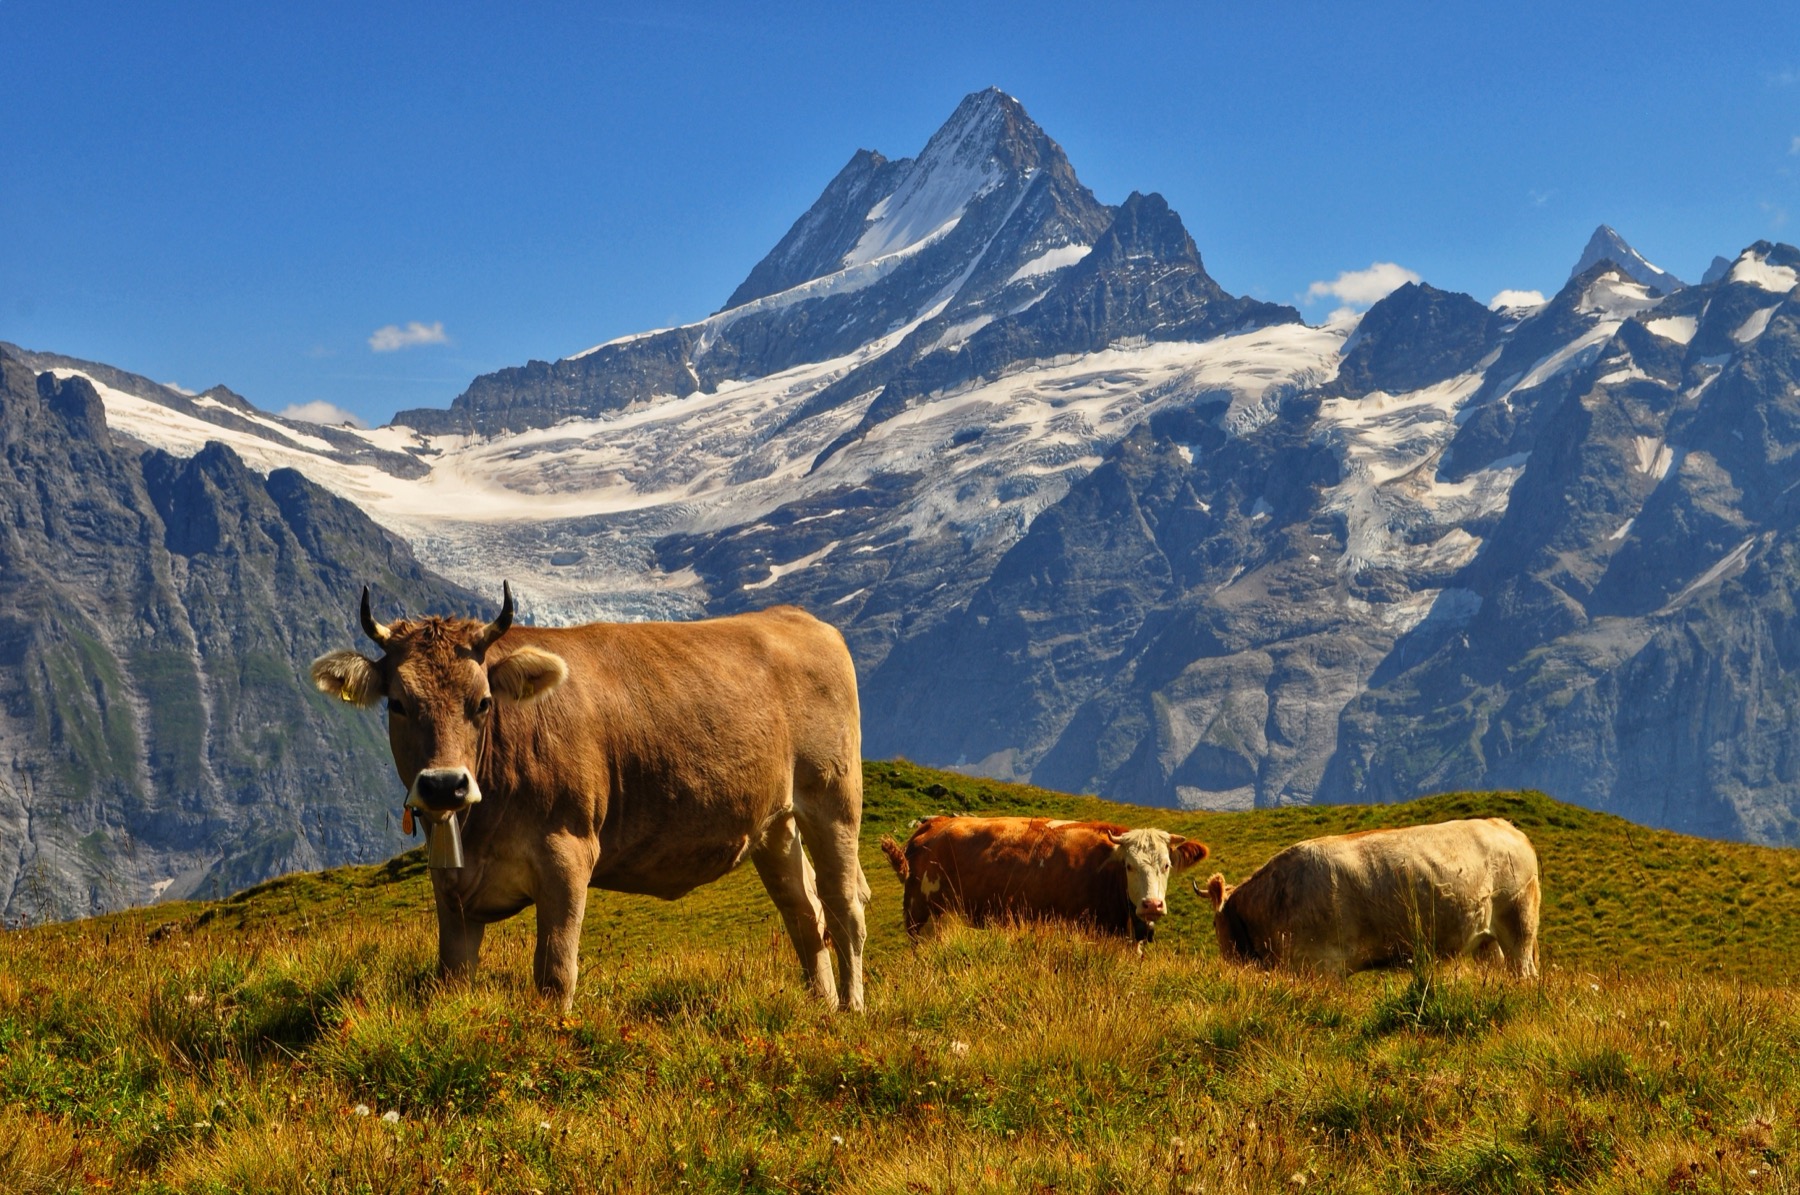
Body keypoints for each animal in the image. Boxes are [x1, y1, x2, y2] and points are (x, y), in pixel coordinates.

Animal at [310, 584, 871, 1011]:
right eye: (398, 703)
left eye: (483, 702)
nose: (445, 784)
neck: (479, 830)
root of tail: (793, 616)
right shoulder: (450, 887)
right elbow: (451, 976)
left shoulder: (567, 852)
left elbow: (555, 973)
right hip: (776, 824)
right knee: (805, 913)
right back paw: (821, 1006)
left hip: (833, 801)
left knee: (844, 908)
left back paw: (852, 1010)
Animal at [1203, 818, 1540, 977]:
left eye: (1214, 924)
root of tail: (1505, 826)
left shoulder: (1323, 965)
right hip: (1487, 940)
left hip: (1519, 924)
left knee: (1523, 972)